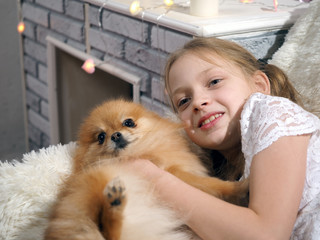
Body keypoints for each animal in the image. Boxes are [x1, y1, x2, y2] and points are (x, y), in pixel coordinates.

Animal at [43, 99, 248, 240]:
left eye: (128, 122)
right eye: (101, 137)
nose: (115, 135)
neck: (143, 151)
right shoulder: (177, 174)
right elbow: (212, 184)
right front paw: (239, 188)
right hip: (97, 182)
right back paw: (114, 204)